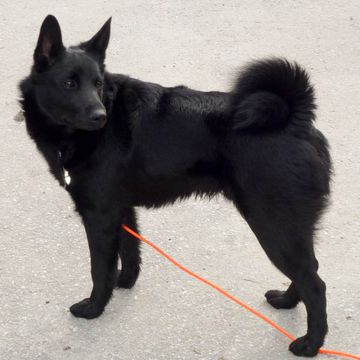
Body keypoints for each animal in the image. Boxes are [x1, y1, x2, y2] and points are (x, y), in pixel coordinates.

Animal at [18, 15, 330, 356]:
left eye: (97, 84)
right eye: (69, 83)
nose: (100, 116)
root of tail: (295, 122)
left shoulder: (100, 215)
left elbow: (99, 268)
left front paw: (94, 307)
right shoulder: (121, 209)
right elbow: (129, 252)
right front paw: (123, 283)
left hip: (272, 225)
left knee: (315, 284)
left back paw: (311, 344)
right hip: (290, 227)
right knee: (310, 268)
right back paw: (287, 302)